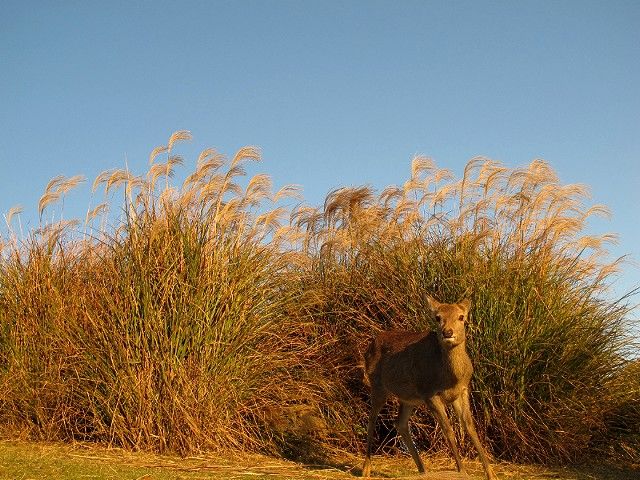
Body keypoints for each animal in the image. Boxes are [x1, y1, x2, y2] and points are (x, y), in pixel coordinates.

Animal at [362, 294, 498, 478]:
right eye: (437, 317)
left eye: (461, 317)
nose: (448, 332)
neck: (450, 377)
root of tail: (370, 345)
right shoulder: (430, 393)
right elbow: (448, 429)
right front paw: (461, 470)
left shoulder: (462, 391)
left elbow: (470, 427)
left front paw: (491, 474)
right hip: (377, 384)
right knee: (372, 418)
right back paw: (366, 469)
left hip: (409, 398)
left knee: (400, 423)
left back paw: (423, 469)